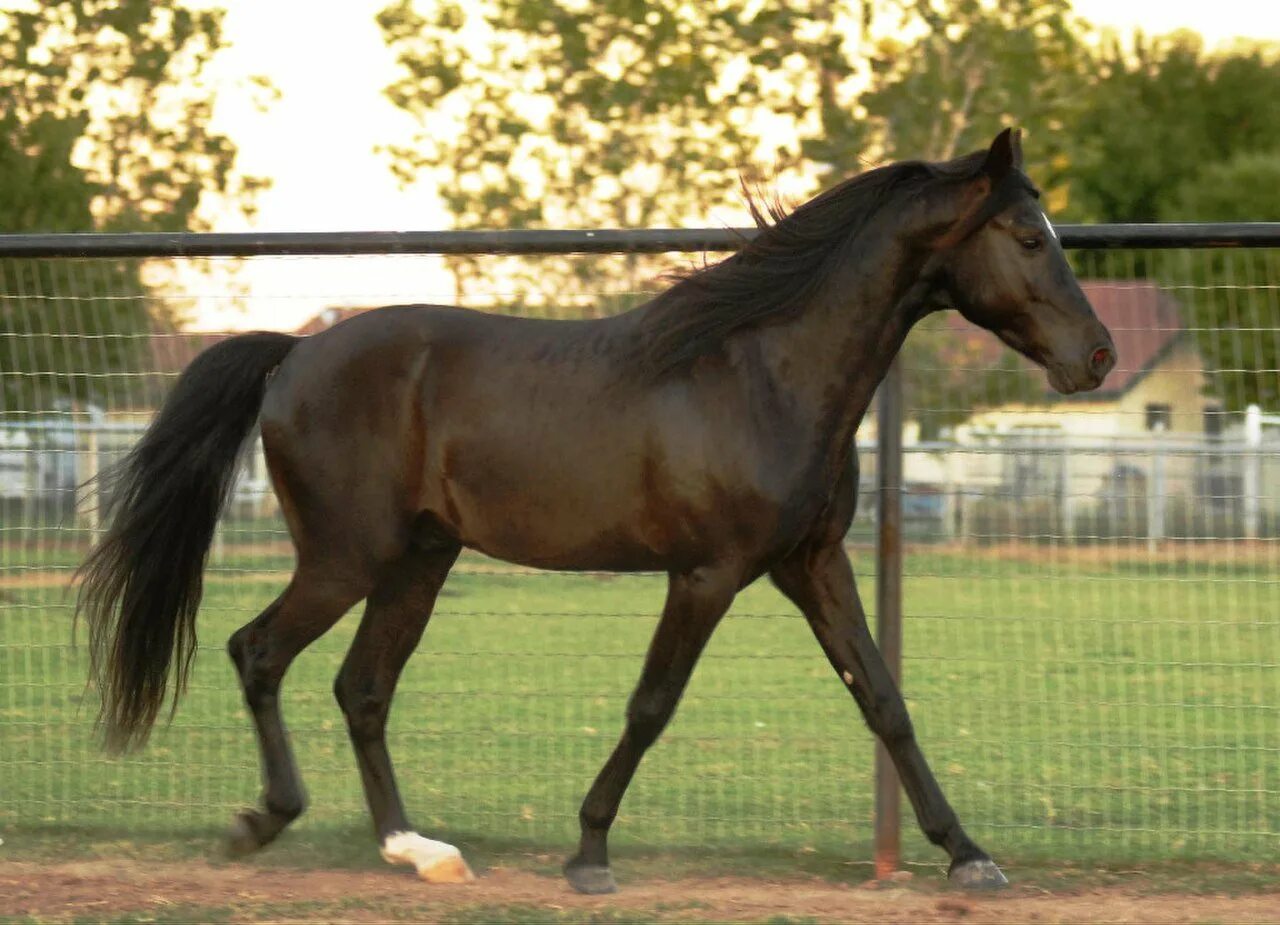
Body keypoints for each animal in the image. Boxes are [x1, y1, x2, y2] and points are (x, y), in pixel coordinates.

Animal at [80, 128, 1116, 890]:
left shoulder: (812, 562)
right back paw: (264, 820)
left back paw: (419, 852)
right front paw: (588, 853)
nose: (1098, 355)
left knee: (362, 689)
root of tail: (293, 354)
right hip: (346, 558)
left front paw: (969, 855)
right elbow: (652, 703)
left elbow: (884, 698)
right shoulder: (708, 574)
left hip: (419, 562)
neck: (761, 375)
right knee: (259, 651)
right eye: (1030, 237)